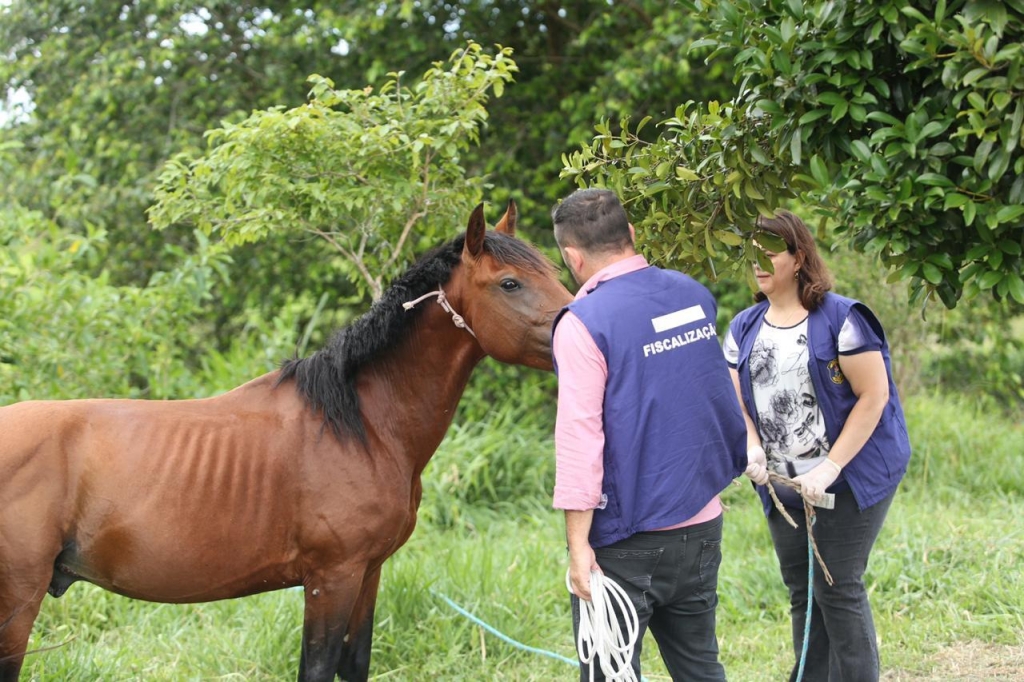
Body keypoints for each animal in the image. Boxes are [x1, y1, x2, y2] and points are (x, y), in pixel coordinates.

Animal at [0, 199, 577, 675]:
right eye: (510, 283)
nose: (577, 326)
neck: (362, 426)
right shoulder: (331, 578)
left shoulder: (367, 575)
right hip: (18, 600)